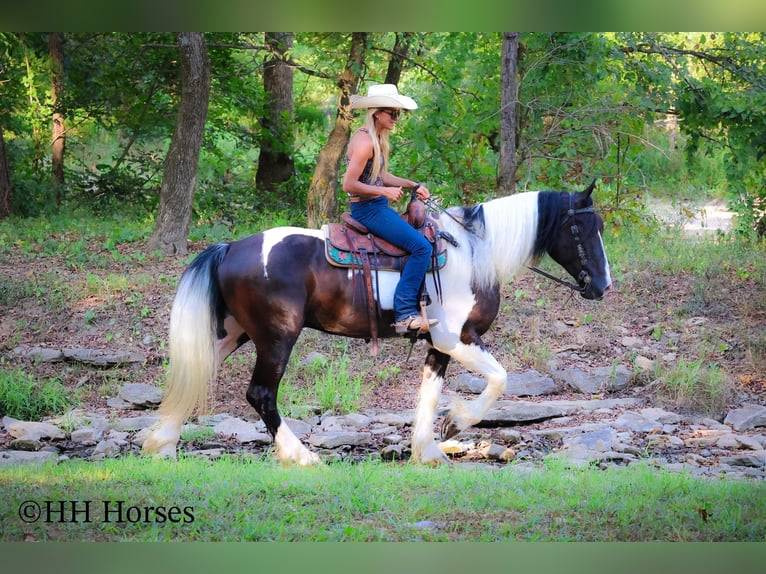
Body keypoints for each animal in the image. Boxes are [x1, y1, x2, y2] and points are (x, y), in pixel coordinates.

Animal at [143, 181, 612, 465]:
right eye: (581, 229)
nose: (603, 285)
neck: (472, 253)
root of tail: (229, 247)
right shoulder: (457, 337)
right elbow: (500, 379)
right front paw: (457, 423)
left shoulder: (437, 344)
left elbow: (428, 395)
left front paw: (428, 451)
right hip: (276, 338)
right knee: (260, 394)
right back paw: (302, 456)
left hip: (232, 333)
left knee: (195, 372)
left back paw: (160, 444)